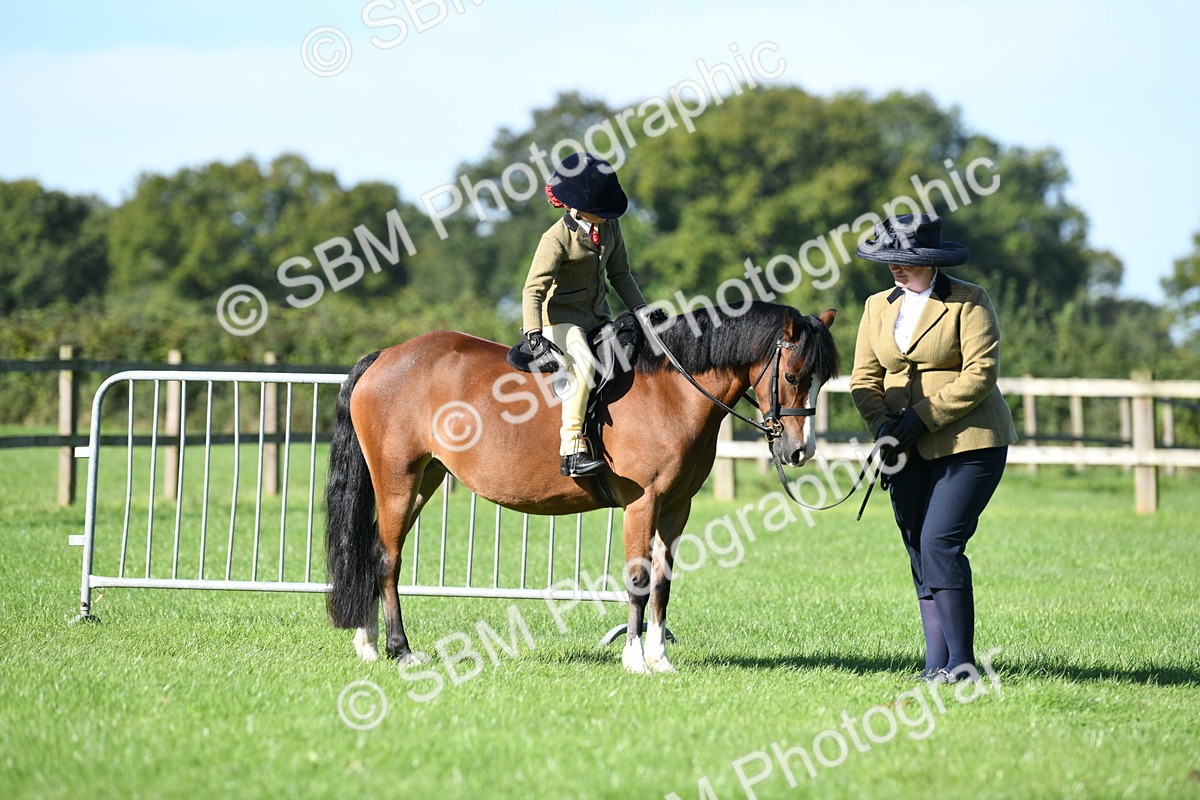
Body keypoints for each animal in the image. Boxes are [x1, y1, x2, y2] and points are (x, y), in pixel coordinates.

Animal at [324, 301, 839, 673]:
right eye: (792, 376)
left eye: (820, 381)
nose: (800, 451)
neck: (670, 389)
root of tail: (385, 356)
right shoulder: (643, 504)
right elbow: (638, 580)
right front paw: (635, 659)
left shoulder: (677, 508)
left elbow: (663, 583)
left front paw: (660, 658)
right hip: (397, 480)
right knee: (387, 559)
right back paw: (399, 649)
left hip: (424, 480)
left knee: (374, 551)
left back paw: (367, 643)